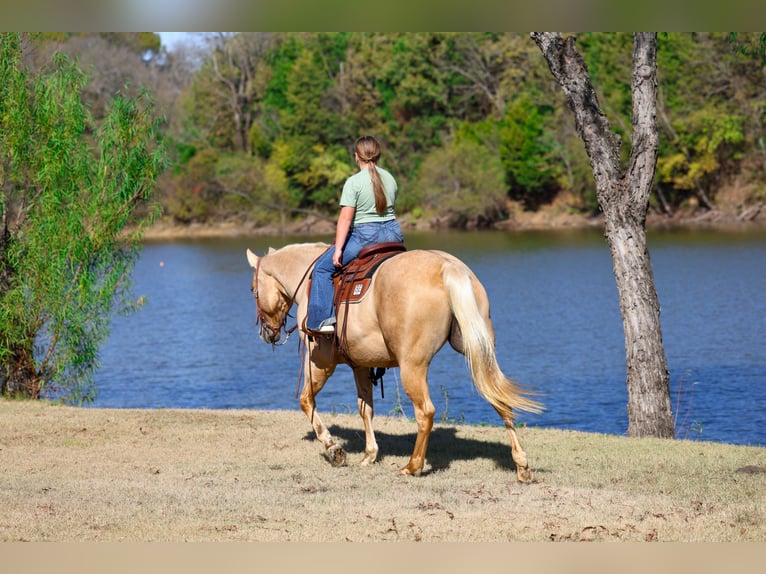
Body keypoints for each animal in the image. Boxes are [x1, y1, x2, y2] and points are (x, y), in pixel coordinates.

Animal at [246, 242, 542, 482]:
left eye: (253, 290)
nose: (266, 333)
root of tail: (447, 267)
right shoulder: (361, 365)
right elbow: (365, 408)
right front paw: (369, 455)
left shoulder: (320, 362)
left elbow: (306, 400)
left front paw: (333, 449)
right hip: (479, 351)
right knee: (500, 400)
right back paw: (522, 466)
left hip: (413, 366)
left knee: (425, 412)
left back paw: (413, 466)